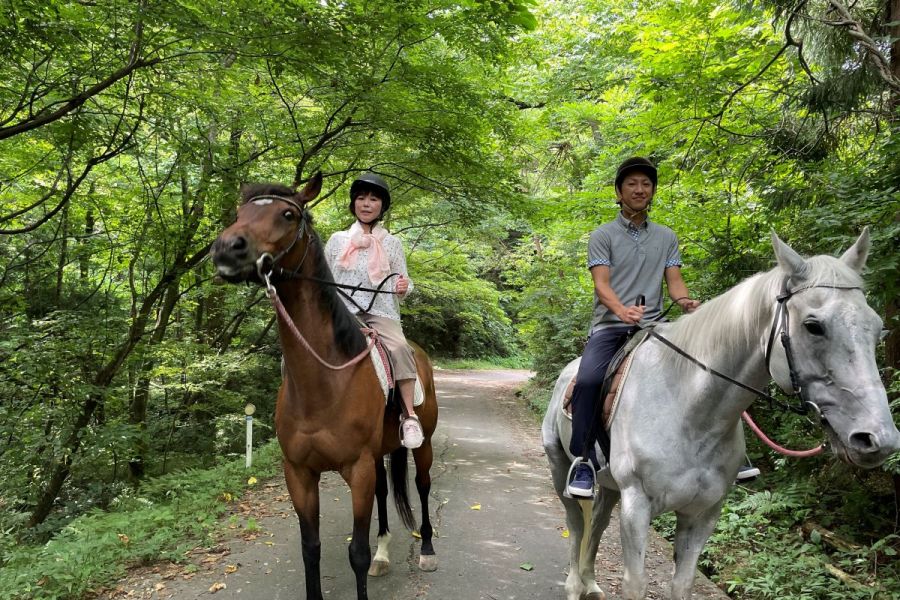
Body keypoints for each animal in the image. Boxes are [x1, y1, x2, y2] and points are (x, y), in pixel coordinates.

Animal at [209, 171, 438, 596]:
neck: (324, 383)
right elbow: (310, 548)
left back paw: (428, 550)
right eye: (239, 213)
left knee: (423, 484)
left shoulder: (357, 469)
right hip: (378, 454)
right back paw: (384, 553)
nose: (227, 249)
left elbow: (356, 553)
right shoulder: (299, 473)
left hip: (423, 444)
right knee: (385, 491)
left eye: (287, 214)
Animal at [540, 227, 900, 596]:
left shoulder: (704, 513)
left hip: (610, 484)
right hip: (561, 467)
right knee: (576, 522)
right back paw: (574, 585)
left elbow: (682, 584)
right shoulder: (636, 505)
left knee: (597, 521)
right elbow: (635, 584)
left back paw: (591, 582)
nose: (877, 439)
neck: (690, 412)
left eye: (877, 327)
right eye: (814, 326)